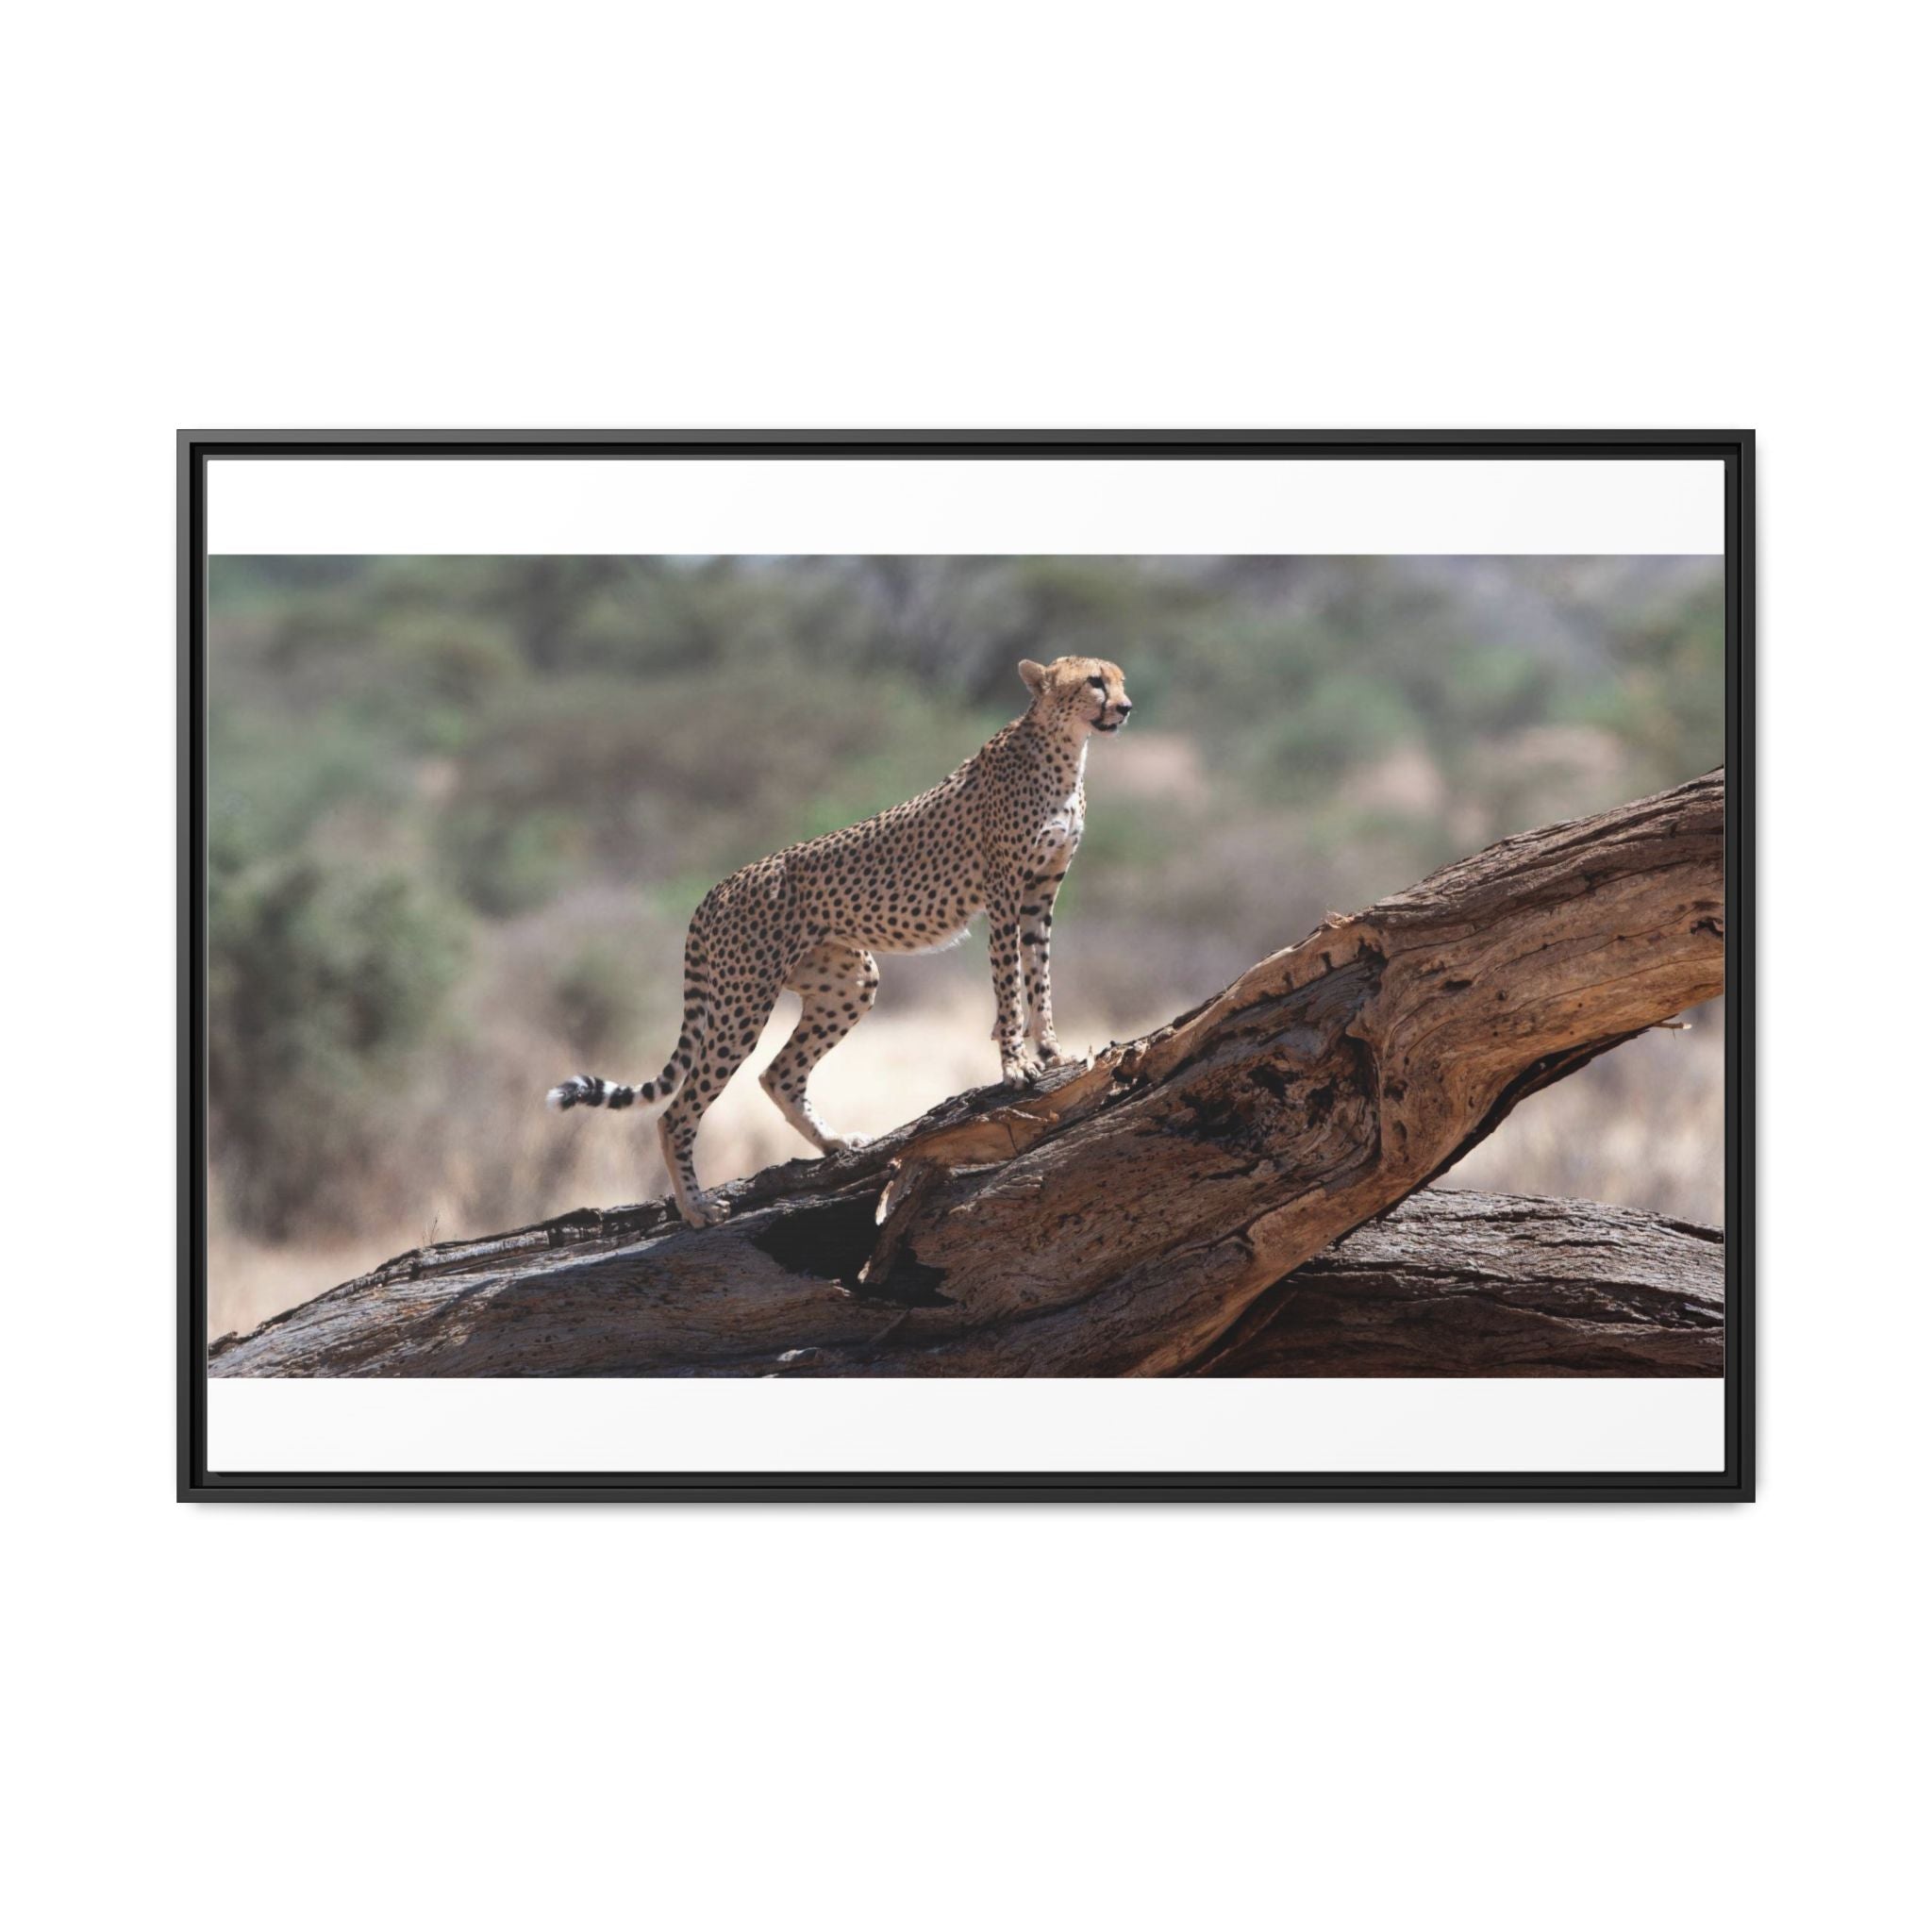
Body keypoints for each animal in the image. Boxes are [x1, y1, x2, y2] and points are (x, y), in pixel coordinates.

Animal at [546, 654, 1134, 1227]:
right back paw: (696, 1208)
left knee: (778, 1074)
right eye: (1094, 682)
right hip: (743, 1000)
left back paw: (834, 1144)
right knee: (677, 1110)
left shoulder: (1040, 895)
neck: (1065, 749)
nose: (1126, 707)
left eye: (1120, 679)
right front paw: (1015, 1065)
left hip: (848, 980)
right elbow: (1009, 985)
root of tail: (718, 887)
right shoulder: (1005, 894)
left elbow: (1039, 976)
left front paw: (1052, 1050)